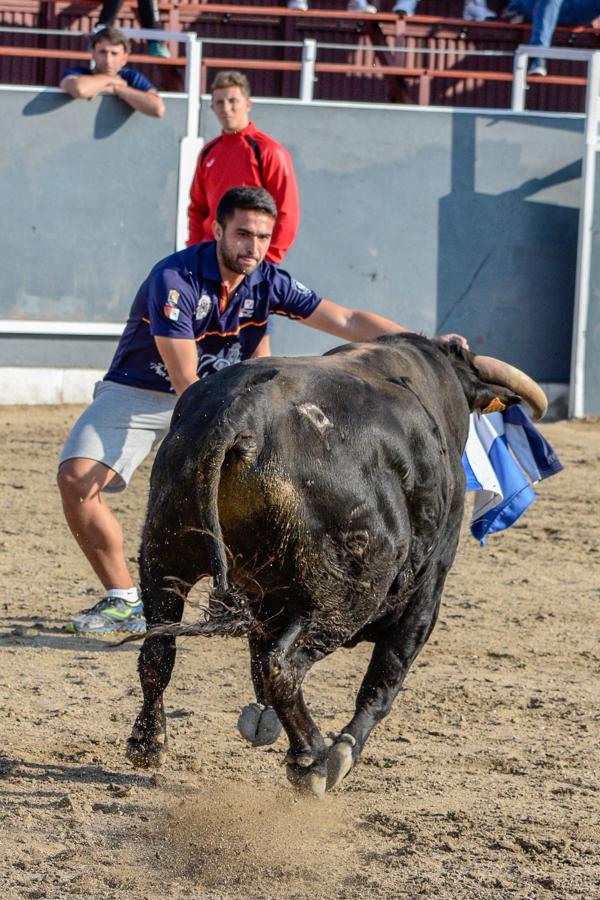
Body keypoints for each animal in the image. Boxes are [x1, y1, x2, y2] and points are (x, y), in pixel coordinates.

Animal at [126, 334, 540, 800]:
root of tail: (244, 413)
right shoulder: (426, 594)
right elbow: (384, 680)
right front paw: (342, 752)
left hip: (164, 553)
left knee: (159, 650)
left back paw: (148, 742)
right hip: (342, 597)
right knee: (283, 668)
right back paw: (312, 759)